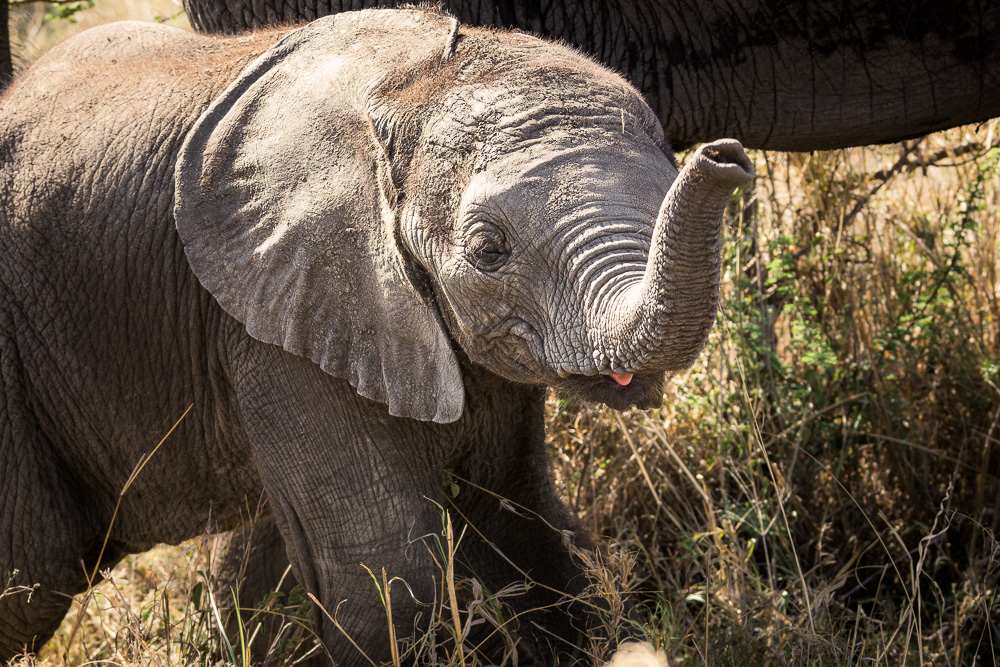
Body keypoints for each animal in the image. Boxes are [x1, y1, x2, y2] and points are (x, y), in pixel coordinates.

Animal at [0, 7, 752, 664]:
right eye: (488, 250)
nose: (727, 157)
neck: (417, 82)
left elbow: (529, 525)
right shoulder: (282, 317)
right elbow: (389, 573)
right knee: (30, 578)